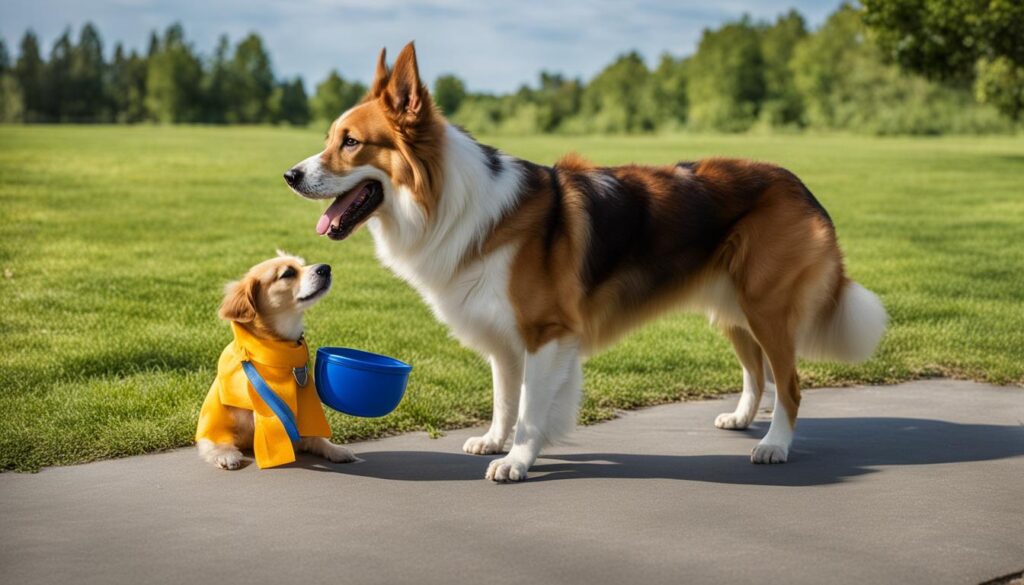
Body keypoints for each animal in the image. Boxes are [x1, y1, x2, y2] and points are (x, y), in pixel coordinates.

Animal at [195, 253, 356, 471]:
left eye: (302, 264)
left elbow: (316, 438)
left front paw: (335, 450)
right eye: (288, 273)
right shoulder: (220, 418)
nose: (326, 268)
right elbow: (213, 441)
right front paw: (225, 454)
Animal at [282, 39, 888, 481]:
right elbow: (505, 398)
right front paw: (496, 441)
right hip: (733, 308)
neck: (450, 202)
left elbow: (530, 409)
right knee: (756, 371)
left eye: (351, 142)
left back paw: (774, 444)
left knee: (789, 384)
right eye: (331, 137)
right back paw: (742, 419)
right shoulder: (505, 338)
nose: (289, 174)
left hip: (765, 307)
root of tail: (796, 183)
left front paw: (517, 460)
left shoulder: (546, 333)